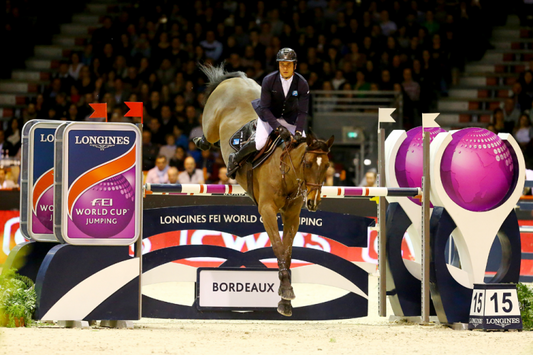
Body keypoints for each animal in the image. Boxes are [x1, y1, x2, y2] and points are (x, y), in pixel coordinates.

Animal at [197, 64, 334, 318]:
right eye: (307, 164)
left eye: (327, 166)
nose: (313, 202)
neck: (285, 173)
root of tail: (234, 80)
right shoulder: (267, 210)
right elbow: (278, 248)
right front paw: (286, 291)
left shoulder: (292, 215)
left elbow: (288, 252)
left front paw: (285, 300)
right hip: (212, 124)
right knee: (207, 136)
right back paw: (204, 143)